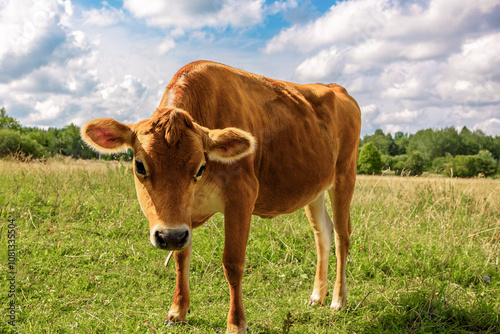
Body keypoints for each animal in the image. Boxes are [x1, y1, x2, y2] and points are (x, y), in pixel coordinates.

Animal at [83, 60, 364, 334]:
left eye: (200, 167)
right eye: (139, 165)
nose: (169, 236)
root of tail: (336, 87)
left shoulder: (242, 195)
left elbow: (232, 262)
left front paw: (236, 322)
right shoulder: (183, 218)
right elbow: (181, 257)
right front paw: (177, 311)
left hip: (345, 176)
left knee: (342, 237)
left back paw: (338, 299)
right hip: (314, 189)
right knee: (322, 234)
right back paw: (317, 295)